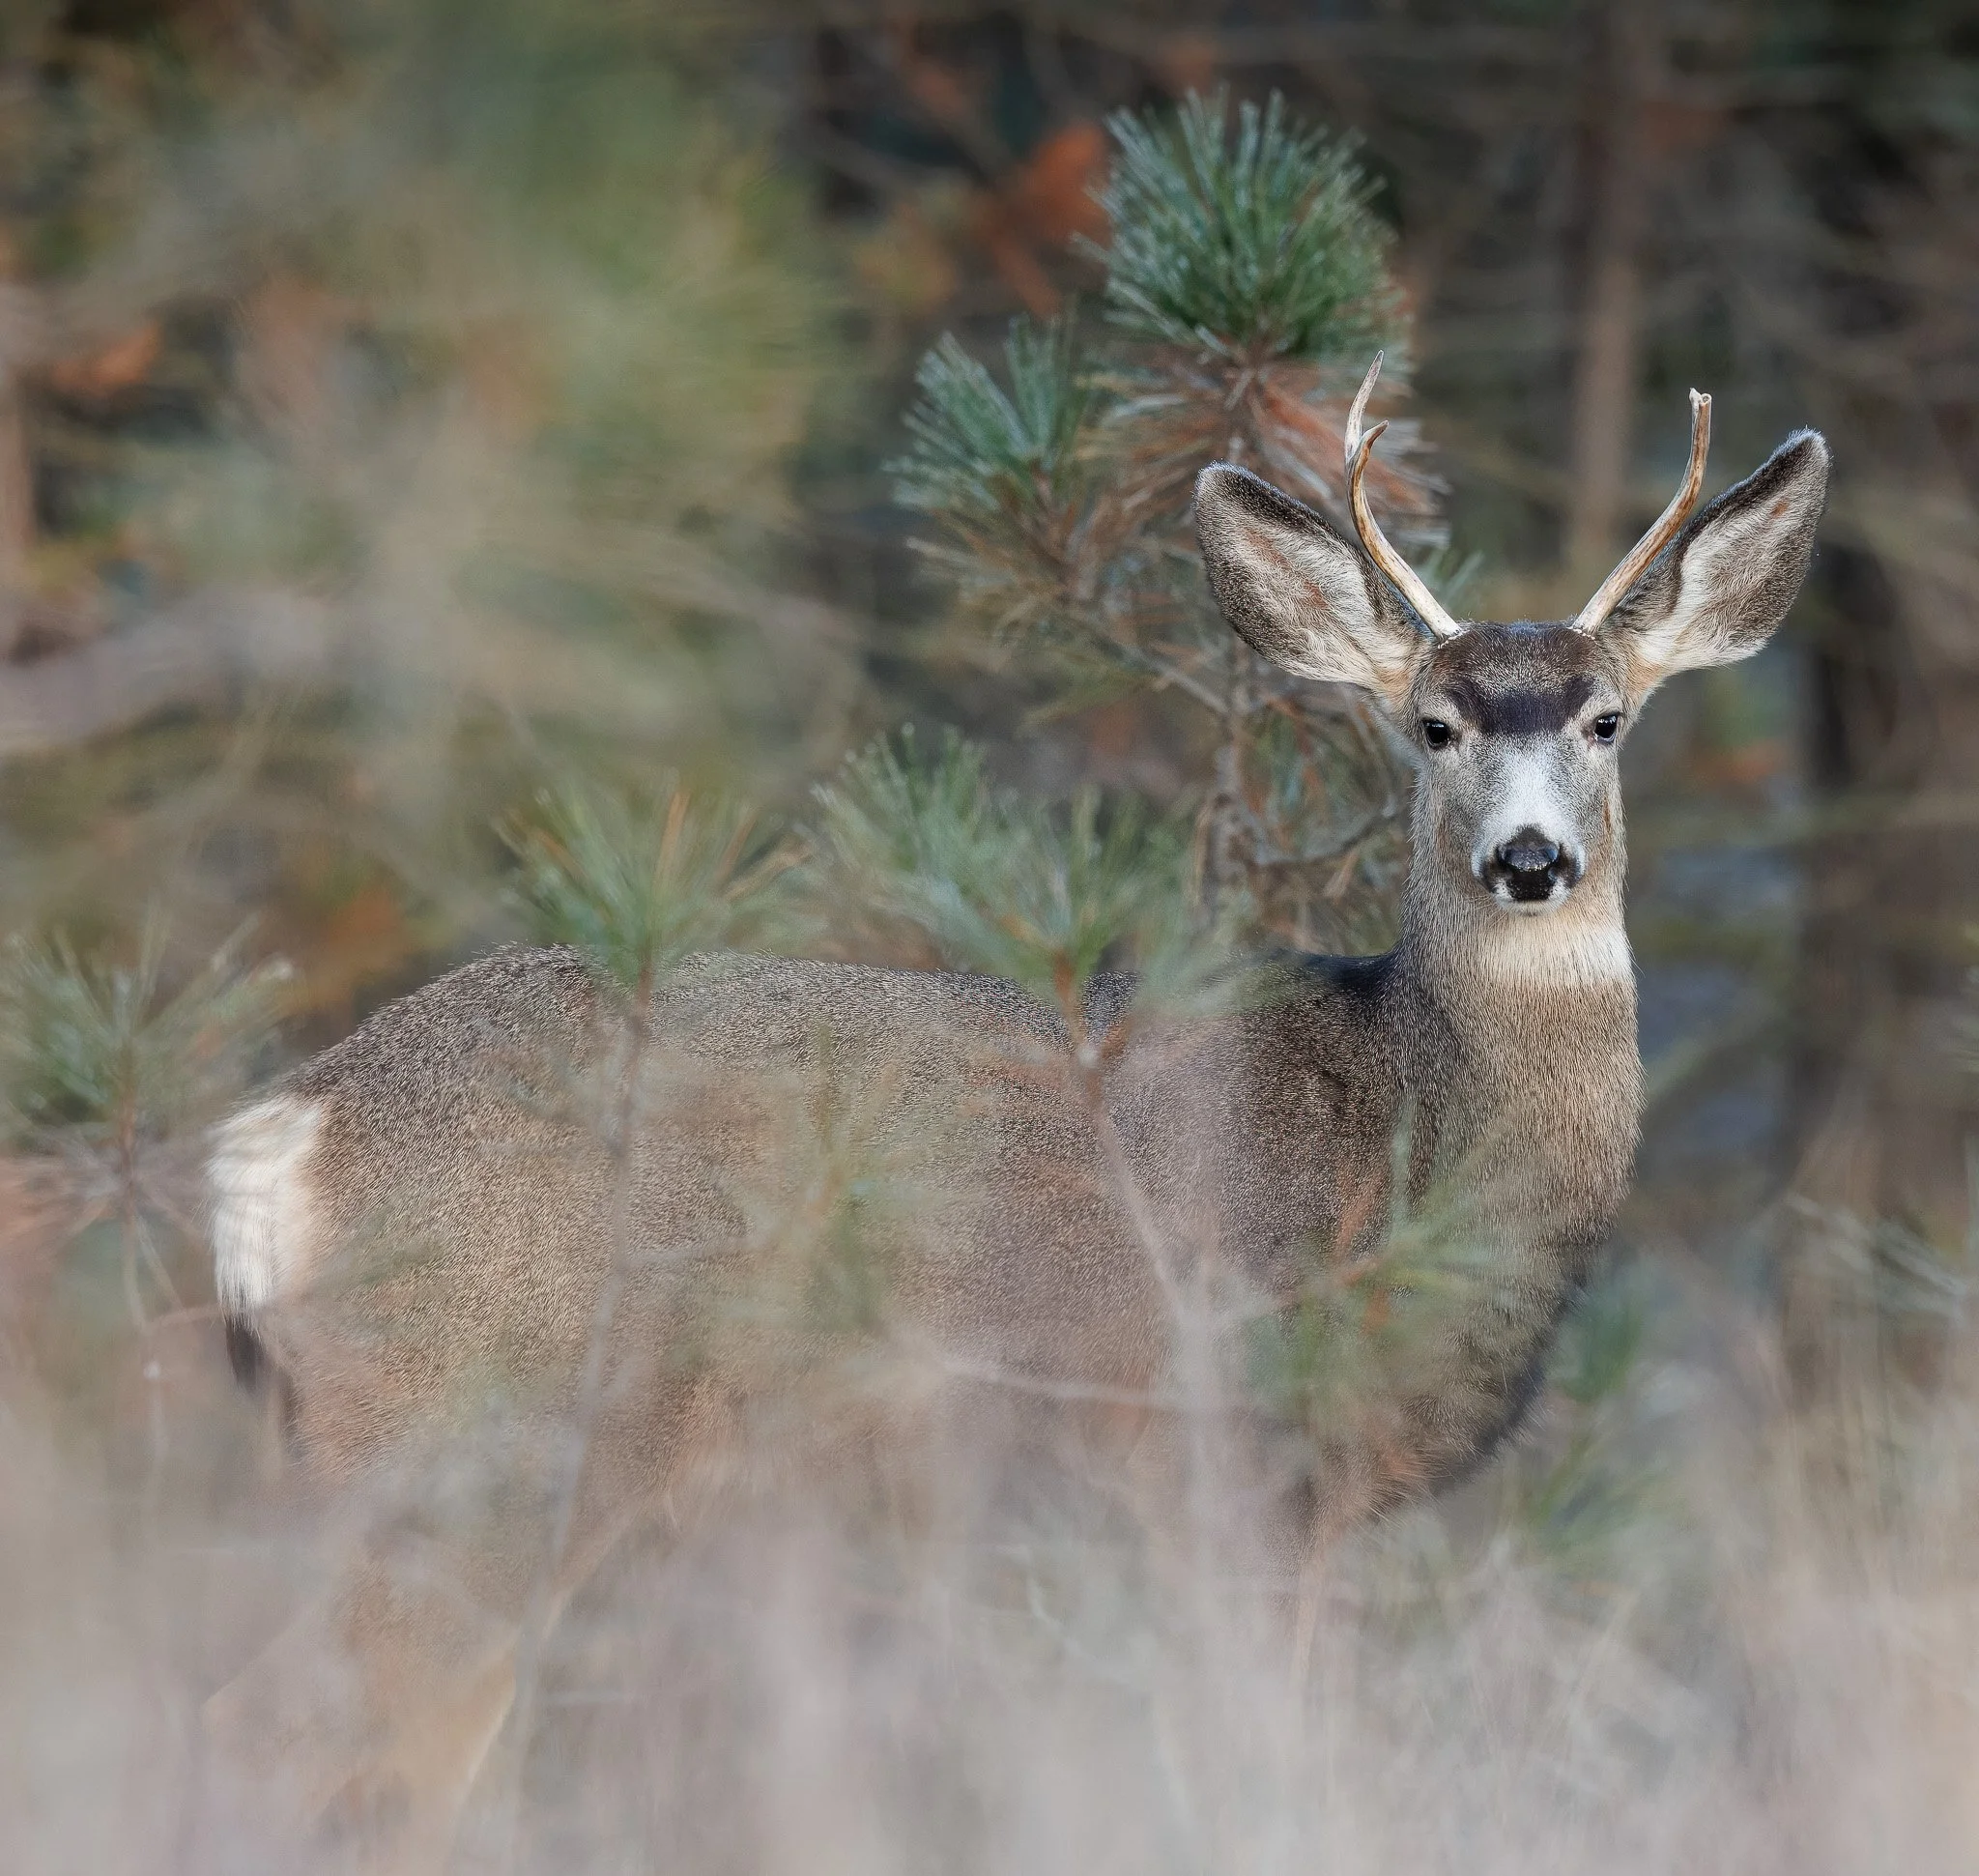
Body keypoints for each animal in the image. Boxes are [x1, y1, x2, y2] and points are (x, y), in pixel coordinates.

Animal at [198, 357, 1829, 1869]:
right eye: (1435, 726)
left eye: (1607, 721)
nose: (1532, 859)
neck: (1404, 1132)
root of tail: (290, 1127)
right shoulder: (1238, 1453)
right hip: (474, 1442)